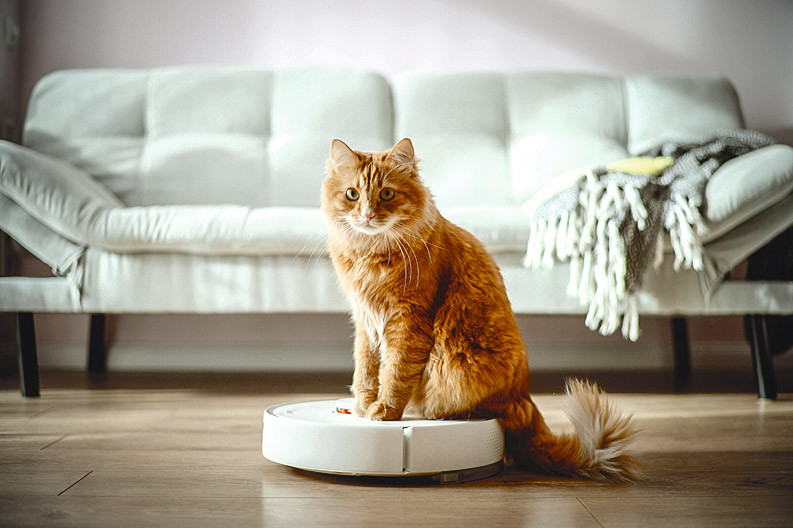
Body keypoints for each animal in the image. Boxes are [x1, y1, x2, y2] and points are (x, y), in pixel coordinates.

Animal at [321, 138, 640, 480]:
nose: (367, 215)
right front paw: (362, 404)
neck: (371, 254)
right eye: (352, 194)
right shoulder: (365, 321)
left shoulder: (408, 321)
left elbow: (394, 373)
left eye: (387, 194)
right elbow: (366, 370)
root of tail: (524, 397)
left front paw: (383, 411)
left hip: (460, 367)